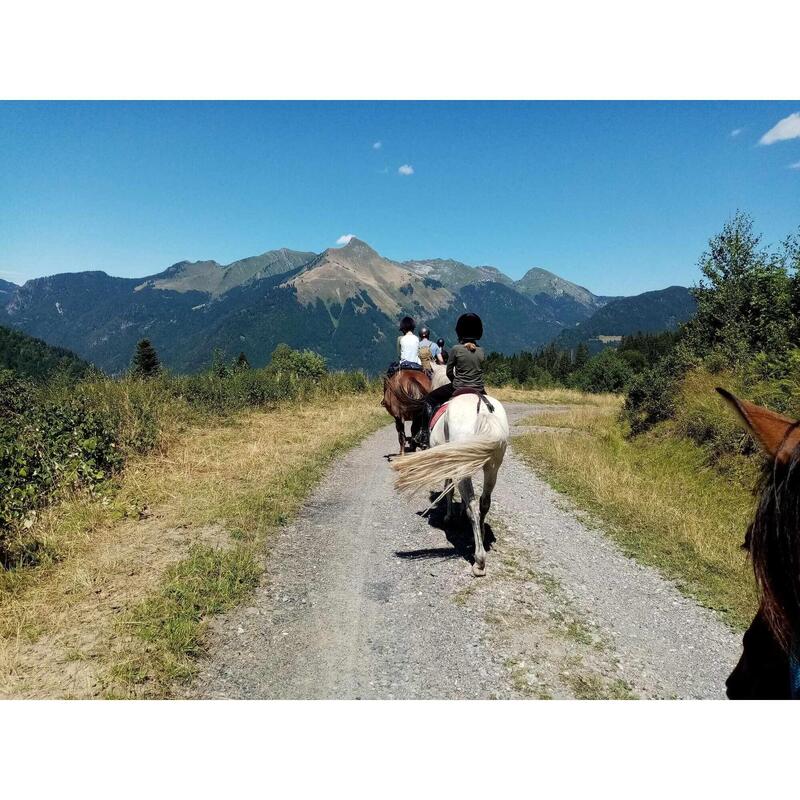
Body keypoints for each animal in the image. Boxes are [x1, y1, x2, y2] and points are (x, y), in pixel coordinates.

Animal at [390, 390, 510, 572]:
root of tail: (483, 408)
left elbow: (449, 489)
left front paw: (448, 517)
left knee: (473, 508)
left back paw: (479, 561)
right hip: (492, 467)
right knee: (484, 503)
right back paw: (479, 535)